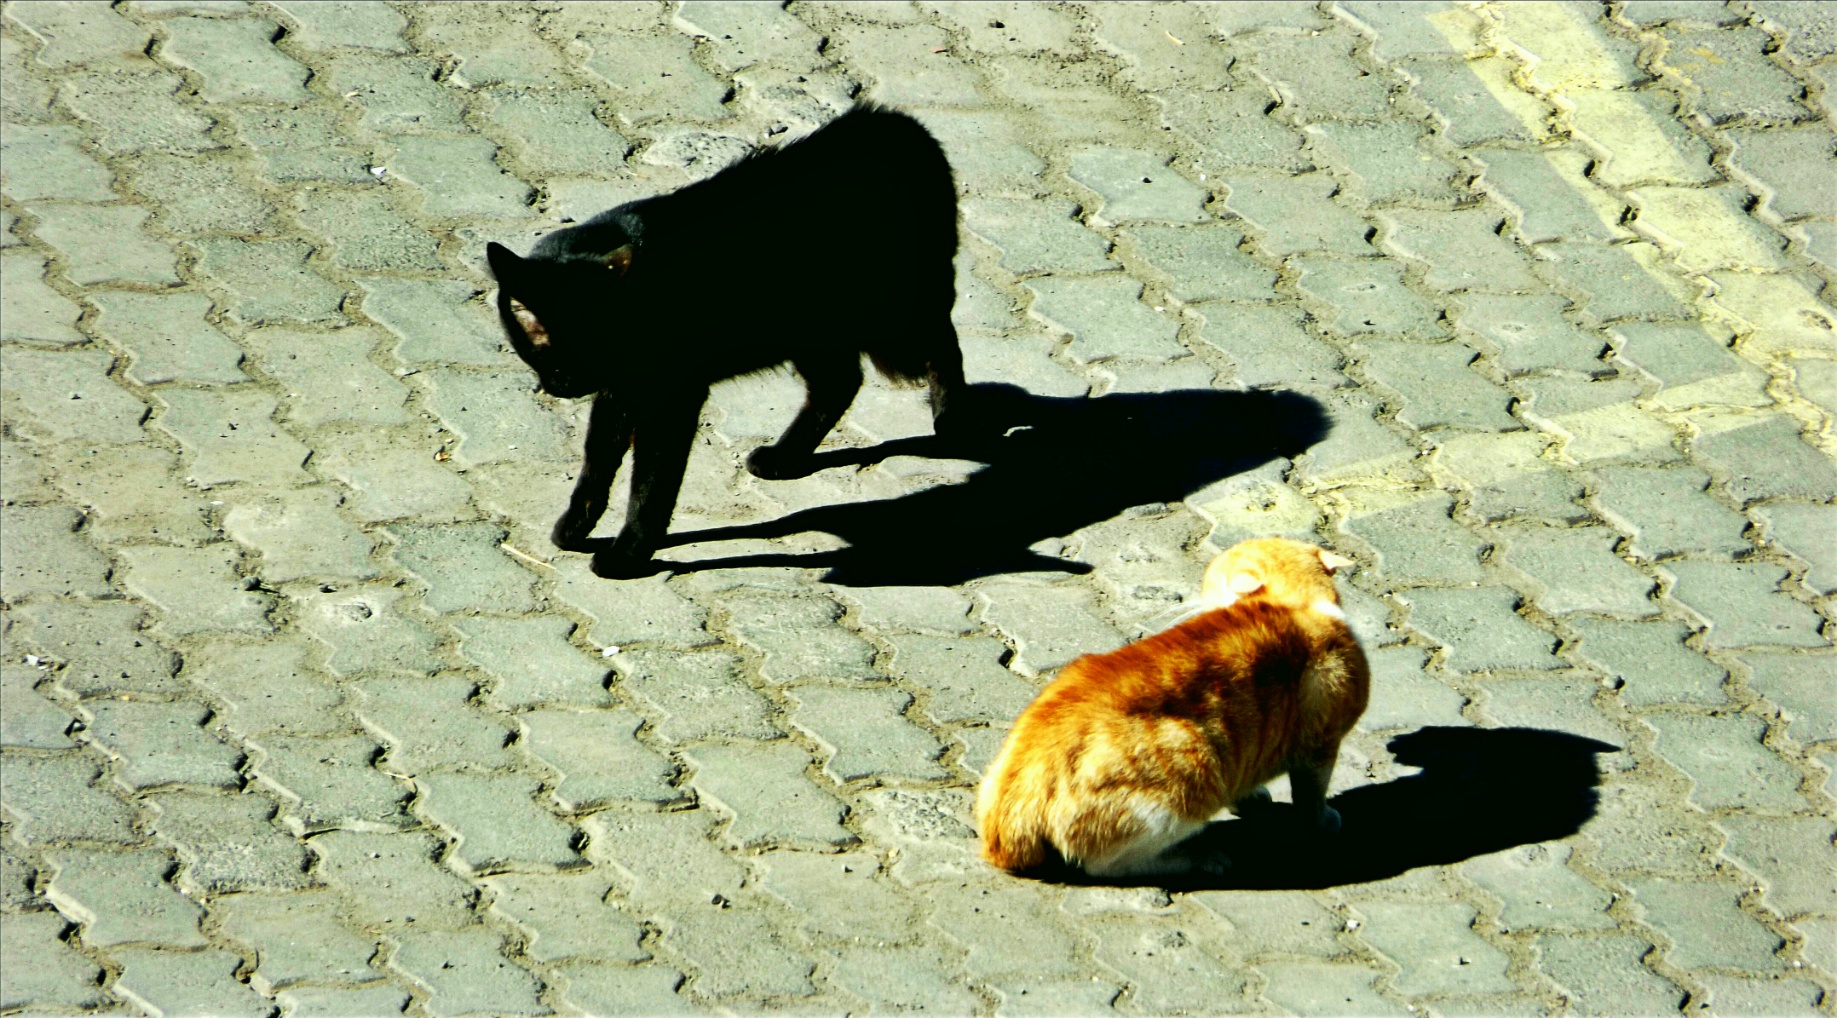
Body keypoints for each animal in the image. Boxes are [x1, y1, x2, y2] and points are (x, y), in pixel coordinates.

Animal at [488, 106, 977, 576]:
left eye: (583, 348)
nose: (562, 387)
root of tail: (900, 125)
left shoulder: (669, 397)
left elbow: (652, 482)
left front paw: (629, 553)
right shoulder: (620, 389)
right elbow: (598, 461)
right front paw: (577, 525)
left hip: (893, 314)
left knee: (943, 344)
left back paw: (951, 423)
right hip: (812, 329)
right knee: (839, 383)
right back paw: (783, 457)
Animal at [977, 536, 1366, 874]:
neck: (1297, 601)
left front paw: (1252, 799)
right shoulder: (1320, 748)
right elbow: (1311, 797)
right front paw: (1322, 821)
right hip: (1193, 766)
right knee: (1107, 865)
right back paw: (1199, 858)